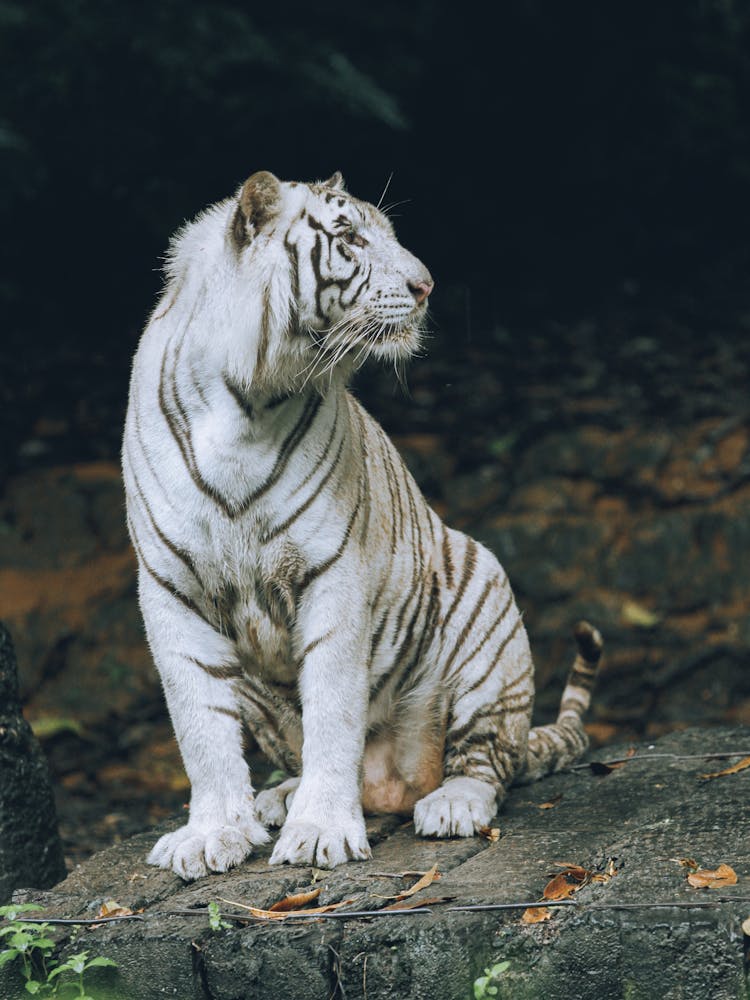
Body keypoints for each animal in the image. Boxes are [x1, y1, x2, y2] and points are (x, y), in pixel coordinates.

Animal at [123, 170, 604, 876]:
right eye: (349, 237)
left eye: (389, 232)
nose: (427, 285)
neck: (246, 405)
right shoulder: (169, 588)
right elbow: (199, 727)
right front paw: (213, 833)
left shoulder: (331, 573)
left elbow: (331, 711)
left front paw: (320, 831)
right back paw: (278, 799)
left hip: (485, 602)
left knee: (488, 760)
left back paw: (450, 804)